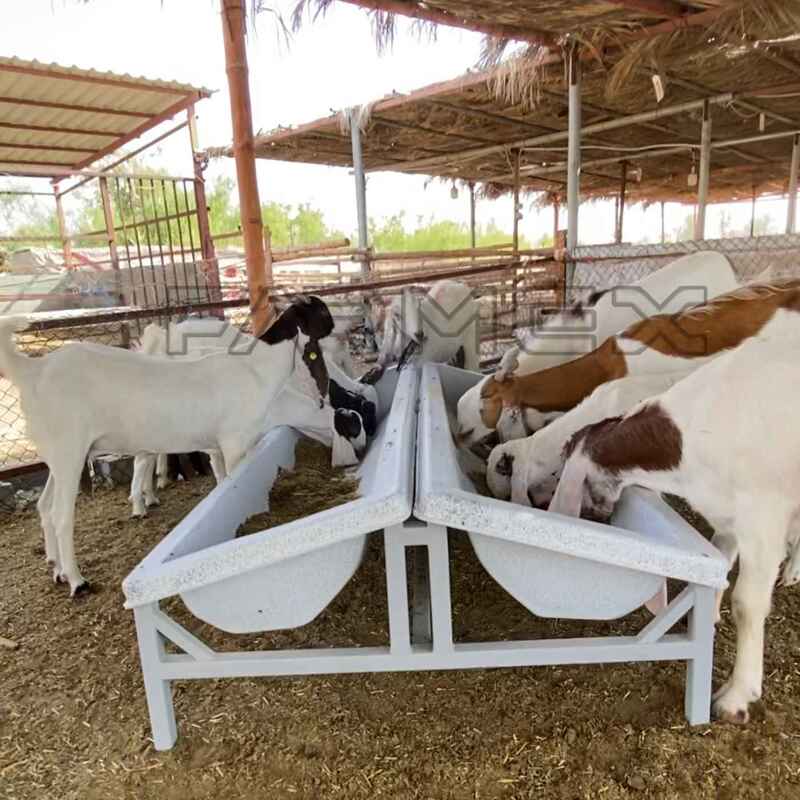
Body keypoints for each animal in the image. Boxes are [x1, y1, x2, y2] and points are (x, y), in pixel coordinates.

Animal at [0, 296, 335, 596]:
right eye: (320, 310)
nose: (333, 323)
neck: (256, 368)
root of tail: (32, 371)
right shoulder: (234, 441)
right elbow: (234, 486)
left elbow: (223, 483)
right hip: (68, 450)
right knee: (61, 516)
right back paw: (76, 581)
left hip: (56, 455)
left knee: (44, 507)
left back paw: (57, 570)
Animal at [547, 334, 800, 723]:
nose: (599, 517)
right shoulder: (728, 515)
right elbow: (720, 563)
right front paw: (708, 618)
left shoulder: (762, 519)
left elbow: (747, 603)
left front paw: (736, 697)